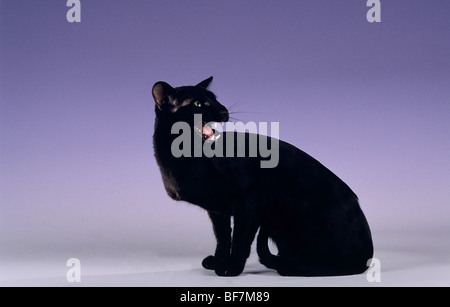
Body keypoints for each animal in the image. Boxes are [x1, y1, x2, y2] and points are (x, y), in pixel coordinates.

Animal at [151, 76, 372, 276]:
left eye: (215, 99)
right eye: (198, 104)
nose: (224, 111)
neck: (185, 158)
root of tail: (368, 255)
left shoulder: (250, 199)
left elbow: (240, 239)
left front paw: (231, 268)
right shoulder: (217, 211)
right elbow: (223, 238)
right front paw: (219, 262)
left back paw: (291, 266)